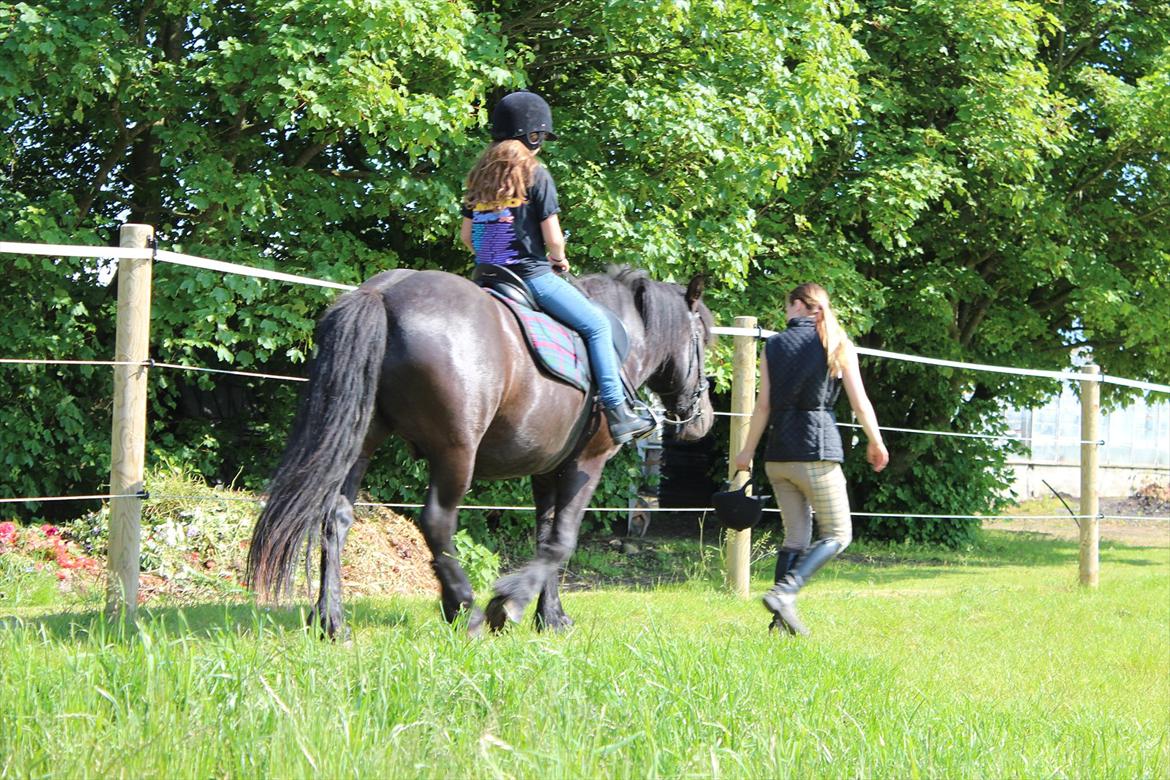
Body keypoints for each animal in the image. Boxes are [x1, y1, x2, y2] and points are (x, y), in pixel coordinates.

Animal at [246, 265, 711, 636]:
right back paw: (463, 607)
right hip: (456, 453)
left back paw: (331, 621)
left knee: (336, 518)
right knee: (437, 522)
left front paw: (550, 617)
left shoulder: (547, 470)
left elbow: (546, 538)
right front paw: (509, 605)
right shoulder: (586, 464)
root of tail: (383, 293)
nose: (702, 420)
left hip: (361, 441)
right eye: (705, 340)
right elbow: (563, 540)